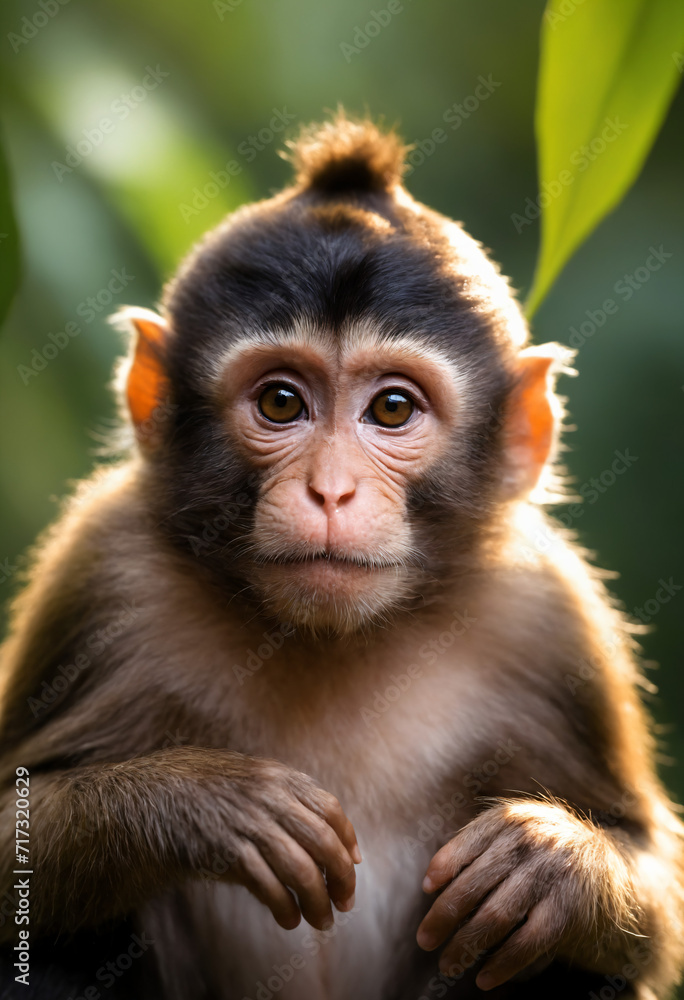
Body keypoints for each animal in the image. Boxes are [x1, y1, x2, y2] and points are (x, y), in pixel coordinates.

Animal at [0, 112, 682, 1000]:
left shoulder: (551, 612)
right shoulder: (100, 570)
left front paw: (552, 865)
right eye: (280, 401)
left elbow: (651, 871)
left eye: (391, 408)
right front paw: (205, 804)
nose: (330, 491)